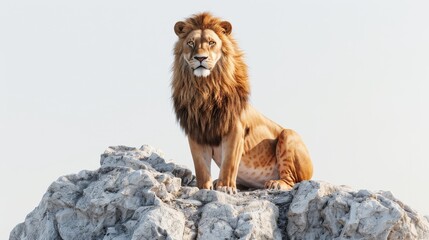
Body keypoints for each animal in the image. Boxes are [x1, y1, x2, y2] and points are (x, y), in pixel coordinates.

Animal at [171, 12, 314, 193]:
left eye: (211, 42)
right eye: (190, 43)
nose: (200, 58)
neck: (205, 89)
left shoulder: (235, 130)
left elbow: (229, 162)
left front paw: (226, 187)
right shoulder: (196, 130)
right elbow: (201, 166)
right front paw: (204, 188)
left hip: (289, 135)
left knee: (291, 180)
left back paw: (275, 183)